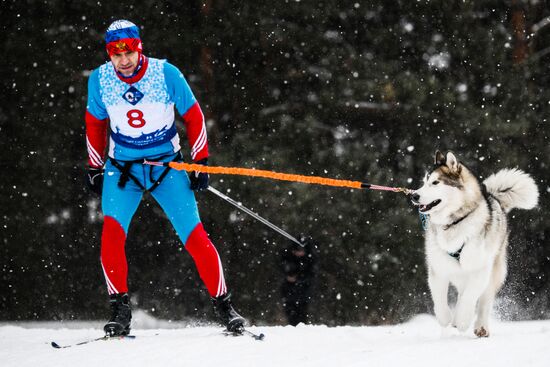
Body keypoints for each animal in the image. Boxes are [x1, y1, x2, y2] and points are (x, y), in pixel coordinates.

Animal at [414, 151, 540, 338]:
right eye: (424, 181)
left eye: (435, 182)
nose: (414, 195)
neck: (455, 222)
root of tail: (494, 198)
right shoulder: (439, 268)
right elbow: (439, 298)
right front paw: (446, 318)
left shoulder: (481, 268)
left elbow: (471, 296)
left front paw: (463, 321)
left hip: (494, 270)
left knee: (484, 300)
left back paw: (480, 326)